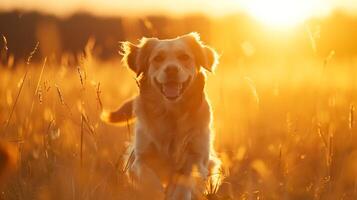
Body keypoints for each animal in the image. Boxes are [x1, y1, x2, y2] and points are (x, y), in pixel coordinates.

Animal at [101, 32, 221, 200]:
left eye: (184, 57)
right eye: (158, 58)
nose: (171, 69)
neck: (170, 114)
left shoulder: (197, 157)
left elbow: (183, 183)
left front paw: (176, 193)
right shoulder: (139, 159)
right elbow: (149, 180)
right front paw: (155, 192)